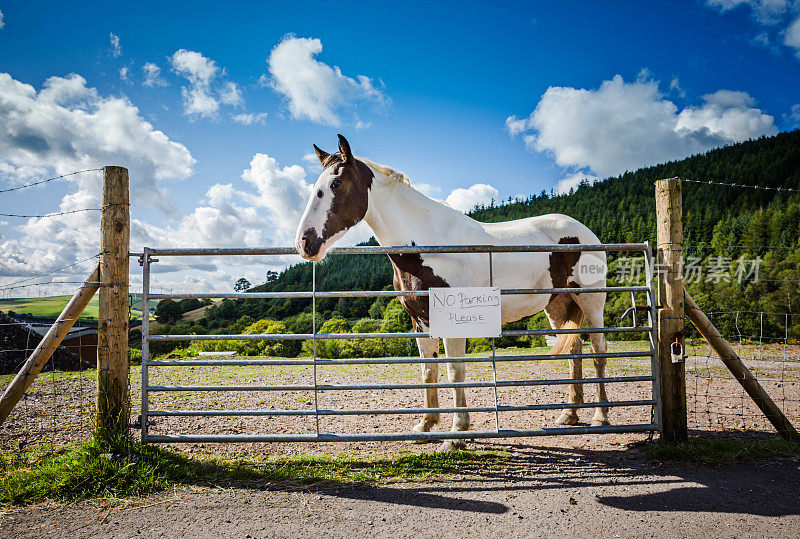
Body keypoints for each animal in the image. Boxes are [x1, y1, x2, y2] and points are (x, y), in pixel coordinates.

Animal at [296, 134, 608, 452]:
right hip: (558, 305)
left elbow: (455, 371)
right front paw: (426, 424)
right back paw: (569, 415)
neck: (428, 245)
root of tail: (583, 232)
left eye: (336, 183)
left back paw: (600, 416)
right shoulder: (421, 321)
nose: (305, 242)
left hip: (591, 302)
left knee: (598, 351)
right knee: (574, 352)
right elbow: (429, 370)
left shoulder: (453, 321)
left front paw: (457, 433)